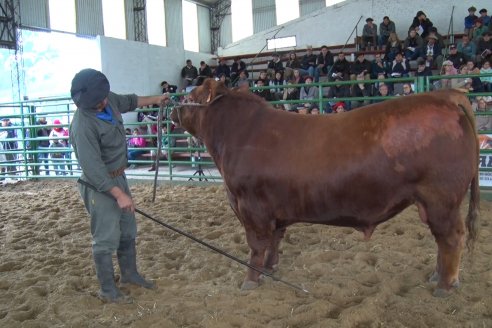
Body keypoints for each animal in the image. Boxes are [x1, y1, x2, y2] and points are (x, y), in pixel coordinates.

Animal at [171, 79, 478, 298]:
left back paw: (445, 286)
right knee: (442, 240)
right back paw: (438, 277)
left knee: (451, 238)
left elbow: (257, 245)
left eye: (193, 93)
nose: (172, 106)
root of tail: (446, 96)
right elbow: (274, 241)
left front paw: (250, 280)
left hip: (441, 199)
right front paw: (271, 269)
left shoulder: (251, 206)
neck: (238, 133)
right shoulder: (274, 210)